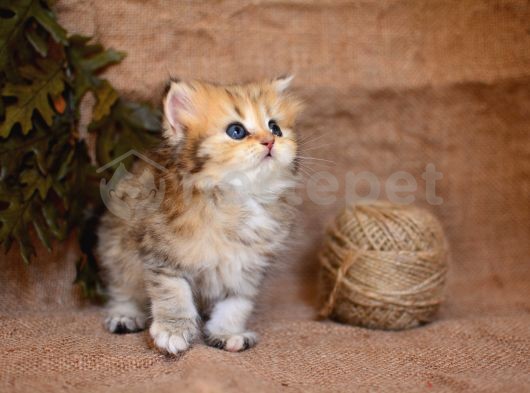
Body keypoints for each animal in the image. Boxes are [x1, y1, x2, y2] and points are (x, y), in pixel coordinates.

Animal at [96, 76, 302, 352]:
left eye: (275, 128)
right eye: (236, 131)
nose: (270, 141)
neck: (238, 197)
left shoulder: (247, 267)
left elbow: (236, 304)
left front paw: (227, 333)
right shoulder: (162, 254)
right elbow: (174, 293)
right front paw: (173, 330)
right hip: (116, 247)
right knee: (121, 287)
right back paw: (124, 315)